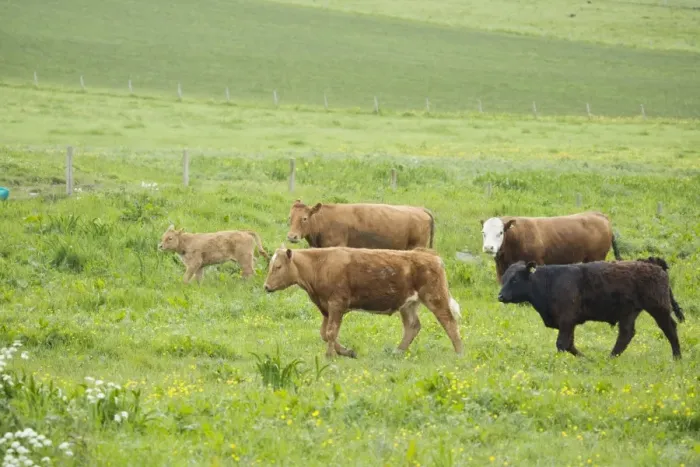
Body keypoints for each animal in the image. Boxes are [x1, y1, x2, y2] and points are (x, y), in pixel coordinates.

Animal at [263, 246, 463, 358]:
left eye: (278, 266)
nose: (266, 286)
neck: (320, 264)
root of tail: (430, 255)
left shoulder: (337, 304)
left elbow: (330, 332)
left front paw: (330, 355)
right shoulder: (326, 307)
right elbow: (324, 333)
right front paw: (346, 352)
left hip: (435, 297)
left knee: (449, 322)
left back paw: (459, 353)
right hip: (408, 305)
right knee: (413, 326)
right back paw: (397, 351)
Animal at [481, 211, 622, 284]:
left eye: (500, 233)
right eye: (483, 233)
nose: (488, 247)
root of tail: (599, 215)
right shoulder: (501, 268)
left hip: (597, 257)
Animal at [497, 257, 685, 359]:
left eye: (514, 279)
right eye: (504, 278)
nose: (500, 296)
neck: (549, 282)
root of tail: (654, 264)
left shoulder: (566, 320)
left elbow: (562, 344)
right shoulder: (569, 322)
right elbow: (570, 345)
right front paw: (586, 359)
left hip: (658, 308)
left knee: (670, 329)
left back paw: (677, 358)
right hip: (629, 313)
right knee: (626, 335)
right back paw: (610, 358)